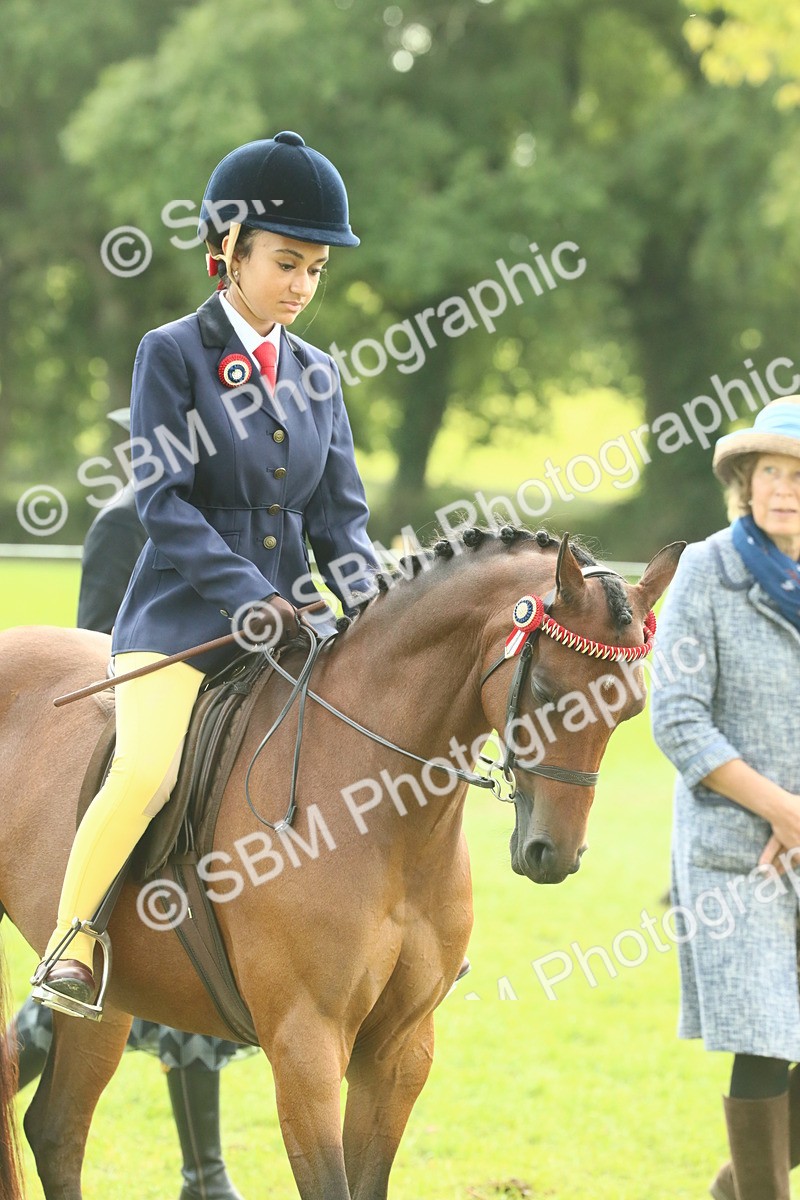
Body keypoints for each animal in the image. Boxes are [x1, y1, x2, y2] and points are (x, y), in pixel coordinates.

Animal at [0, 526, 682, 1200]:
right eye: (544, 691)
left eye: (630, 709)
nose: (553, 853)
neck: (387, 824)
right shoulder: (306, 1045)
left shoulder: (399, 1051)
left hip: (111, 1003)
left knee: (56, 1130)